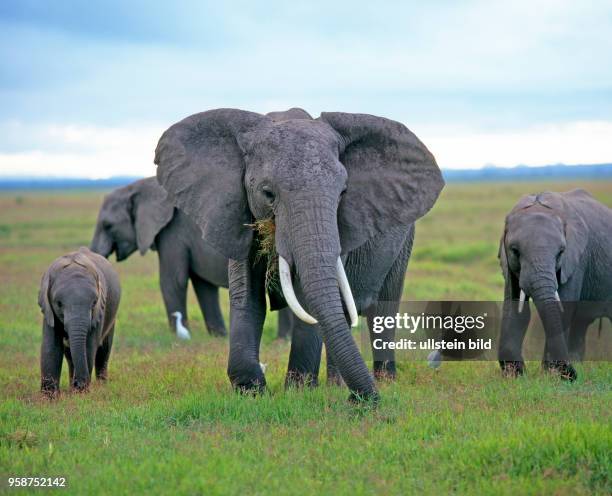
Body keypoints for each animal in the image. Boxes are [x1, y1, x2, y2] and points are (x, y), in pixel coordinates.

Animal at [38, 247, 120, 396]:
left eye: (94, 303)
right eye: (59, 304)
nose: (79, 384)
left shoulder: (99, 310)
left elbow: (89, 346)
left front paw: (79, 394)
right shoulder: (48, 310)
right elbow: (51, 346)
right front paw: (49, 397)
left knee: (104, 349)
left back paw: (101, 385)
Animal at [154, 106, 444, 402]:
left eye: (343, 193)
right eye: (267, 193)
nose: (361, 401)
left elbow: (309, 297)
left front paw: (298, 391)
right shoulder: (235, 212)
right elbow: (246, 293)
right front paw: (252, 388)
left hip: (404, 243)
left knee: (382, 310)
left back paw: (383, 381)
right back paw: (338, 386)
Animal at [498, 189, 612, 380]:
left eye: (560, 252)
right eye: (515, 251)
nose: (572, 376)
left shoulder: (576, 261)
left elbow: (563, 308)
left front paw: (551, 377)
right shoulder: (509, 265)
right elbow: (514, 309)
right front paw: (515, 376)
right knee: (580, 323)